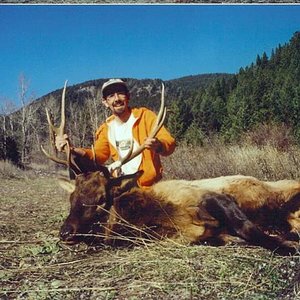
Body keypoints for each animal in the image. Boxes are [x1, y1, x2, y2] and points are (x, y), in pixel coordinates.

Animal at [42, 81, 300, 255]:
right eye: (72, 197)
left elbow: (248, 228)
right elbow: (229, 236)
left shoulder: (214, 197)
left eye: (101, 199)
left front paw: (287, 246)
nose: (65, 232)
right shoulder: (203, 235)